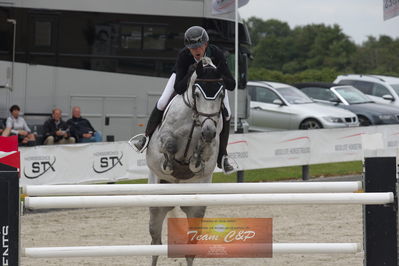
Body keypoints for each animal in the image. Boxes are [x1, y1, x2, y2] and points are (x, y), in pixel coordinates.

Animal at [147, 57, 227, 264]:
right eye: (197, 94)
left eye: (221, 94)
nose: (208, 131)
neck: (194, 117)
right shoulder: (163, 139)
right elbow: (168, 146)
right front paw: (170, 164)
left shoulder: (210, 147)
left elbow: (201, 157)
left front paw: (195, 158)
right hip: (156, 204)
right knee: (155, 243)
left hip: (195, 208)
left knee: (190, 247)